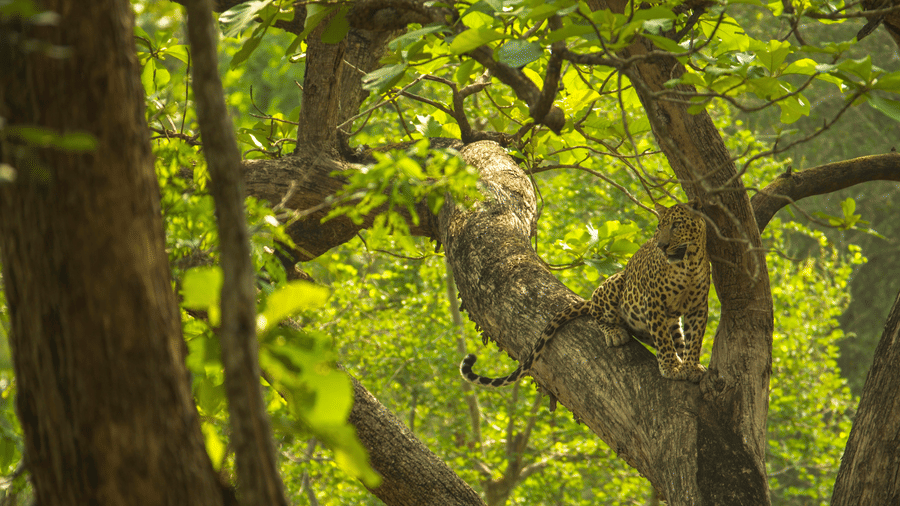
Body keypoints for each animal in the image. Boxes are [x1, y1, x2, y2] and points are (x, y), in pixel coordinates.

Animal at [460, 201, 711, 386]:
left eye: (677, 224)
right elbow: (663, 340)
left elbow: (694, 338)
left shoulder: (698, 305)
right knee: (599, 313)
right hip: (615, 285)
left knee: (676, 336)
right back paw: (614, 333)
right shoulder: (654, 301)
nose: (661, 245)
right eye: (660, 226)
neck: (687, 263)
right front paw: (671, 367)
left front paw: (691, 366)